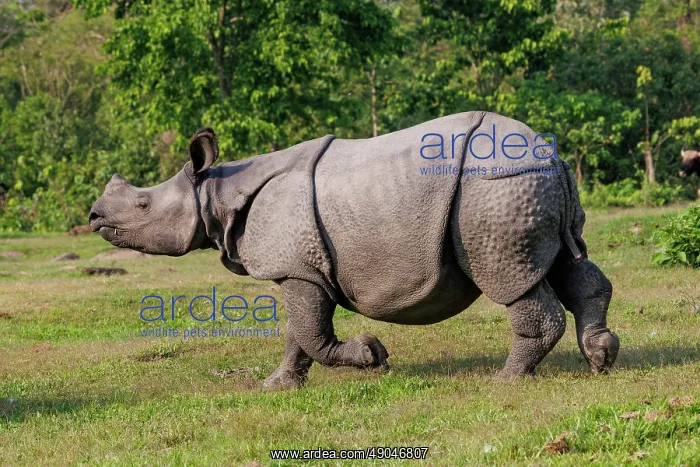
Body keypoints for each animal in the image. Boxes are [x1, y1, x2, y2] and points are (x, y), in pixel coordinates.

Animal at [89, 111, 619, 390]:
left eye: (142, 204)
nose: (94, 216)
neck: (216, 192)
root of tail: (553, 157)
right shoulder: (301, 266)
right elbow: (298, 333)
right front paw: (278, 386)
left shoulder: (296, 265)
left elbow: (309, 332)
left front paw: (372, 356)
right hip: (530, 187)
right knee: (568, 264)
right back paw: (600, 358)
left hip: (495, 190)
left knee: (512, 279)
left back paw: (506, 379)